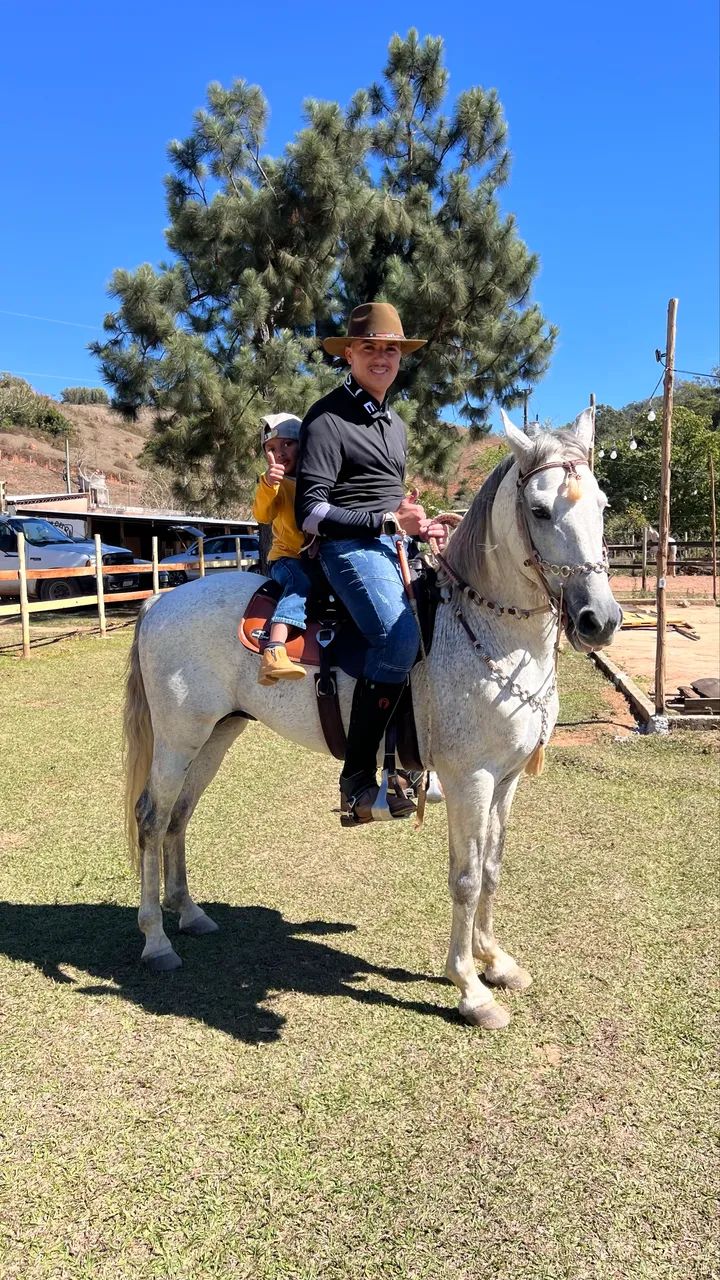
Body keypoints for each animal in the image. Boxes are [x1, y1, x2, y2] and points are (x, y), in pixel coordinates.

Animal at [122, 408, 621, 1031]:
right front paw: (470, 988)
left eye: (602, 503)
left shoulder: (505, 782)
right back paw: (156, 941)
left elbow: (492, 869)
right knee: (150, 818)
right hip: (176, 739)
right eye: (538, 510)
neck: (482, 632)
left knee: (178, 817)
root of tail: (159, 602)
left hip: (215, 735)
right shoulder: (470, 780)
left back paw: (189, 913)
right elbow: (465, 878)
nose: (599, 619)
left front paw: (496, 961)